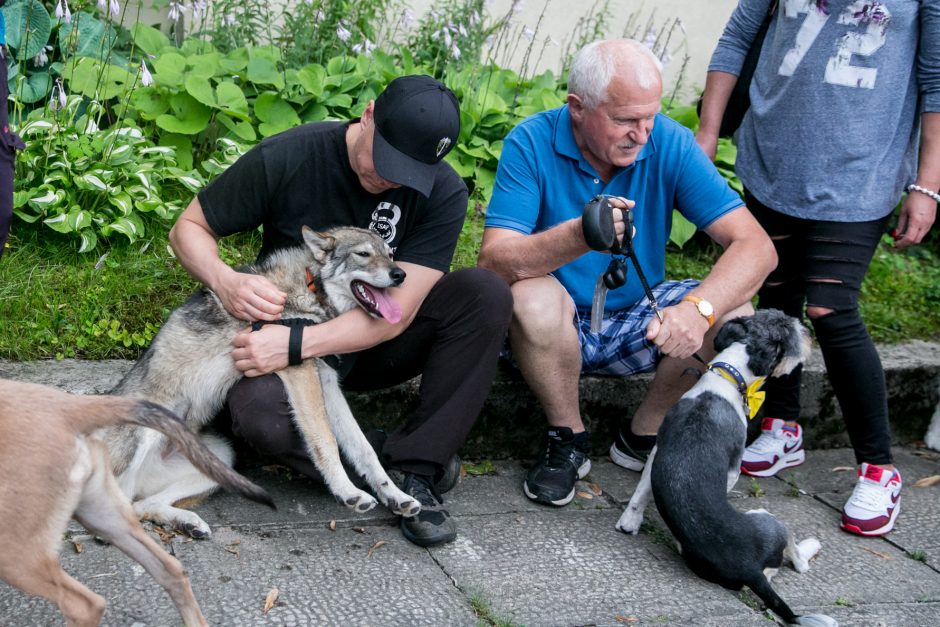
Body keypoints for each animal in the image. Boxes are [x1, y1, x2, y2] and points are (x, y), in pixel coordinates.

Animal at [616, 310, 836, 627]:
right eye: (792, 332)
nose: (808, 334)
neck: (729, 376)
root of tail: (750, 571)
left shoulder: (658, 450)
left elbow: (641, 492)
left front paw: (629, 522)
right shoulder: (733, 468)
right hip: (770, 520)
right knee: (797, 560)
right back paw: (811, 546)